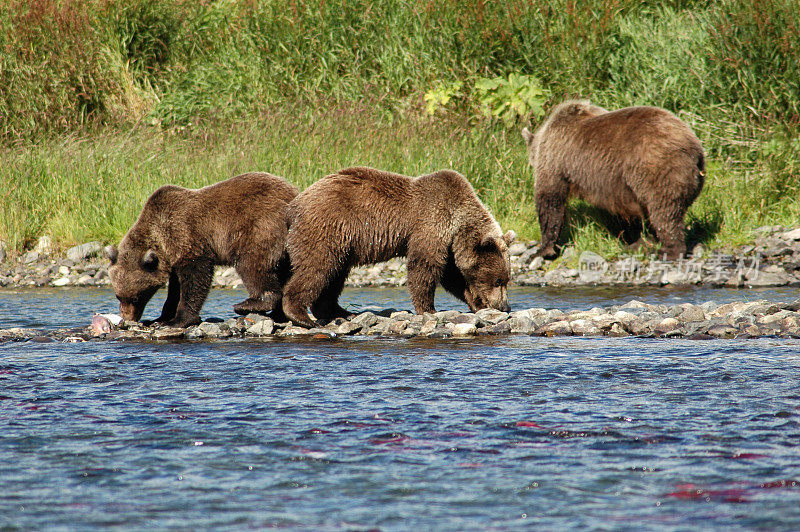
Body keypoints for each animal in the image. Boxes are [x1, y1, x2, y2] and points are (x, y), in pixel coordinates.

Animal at [103, 172, 296, 326]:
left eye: (136, 297)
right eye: (118, 296)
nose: (127, 318)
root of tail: (293, 192)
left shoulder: (187, 237)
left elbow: (196, 278)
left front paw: (178, 319)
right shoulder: (173, 258)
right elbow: (175, 288)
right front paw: (162, 317)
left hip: (261, 226)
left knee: (251, 264)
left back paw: (248, 304)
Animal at [282, 166, 516, 328]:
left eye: (506, 280)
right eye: (498, 280)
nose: (505, 307)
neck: (457, 222)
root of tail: (295, 204)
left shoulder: (449, 243)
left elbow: (453, 275)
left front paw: (477, 304)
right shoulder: (431, 223)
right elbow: (425, 266)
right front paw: (429, 309)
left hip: (342, 244)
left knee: (335, 275)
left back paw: (342, 312)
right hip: (327, 228)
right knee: (316, 267)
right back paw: (301, 315)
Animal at [524, 99, 708, 260]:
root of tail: (695, 148)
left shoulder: (555, 160)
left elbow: (550, 201)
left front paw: (542, 250)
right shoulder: (615, 185)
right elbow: (623, 213)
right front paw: (631, 238)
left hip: (657, 167)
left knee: (664, 211)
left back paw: (668, 250)